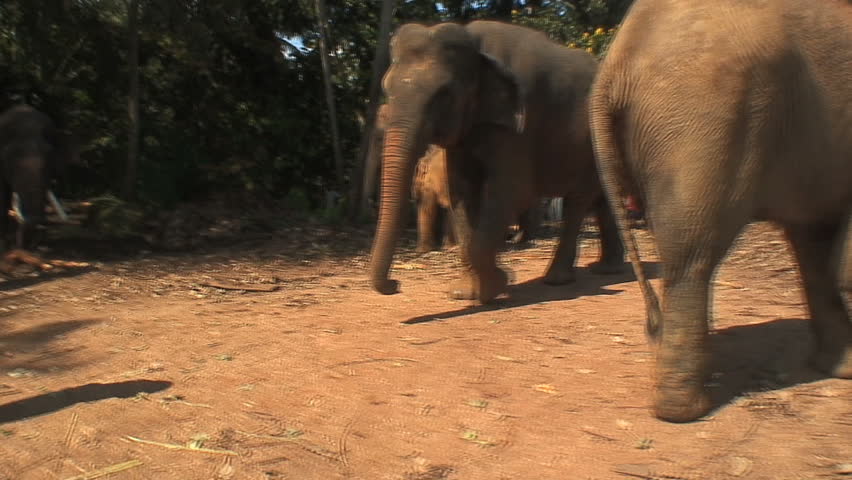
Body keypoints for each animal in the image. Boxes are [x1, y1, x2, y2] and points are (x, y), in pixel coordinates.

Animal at [369, 20, 626, 303]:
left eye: (443, 94)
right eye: (386, 88)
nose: (396, 284)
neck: (475, 45)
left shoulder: (521, 122)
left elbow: (507, 192)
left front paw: (500, 283)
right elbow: (462, 192)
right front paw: (466, 293)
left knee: (577, 203)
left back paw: (558, 280)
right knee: (602, 198)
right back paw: (606, 269)